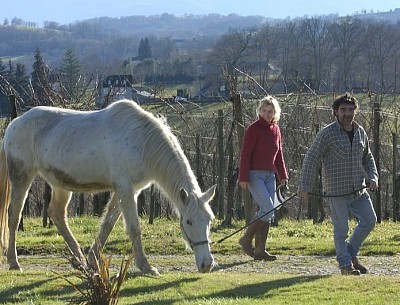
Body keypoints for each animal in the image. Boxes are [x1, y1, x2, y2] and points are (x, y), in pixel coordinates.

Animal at [0, 99, 216, 274]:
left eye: (209, 220)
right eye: (188, 222)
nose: (207, 264)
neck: (142, 141)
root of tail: (14, 124)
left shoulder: (128, 190)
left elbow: (108, 224)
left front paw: (93, 260)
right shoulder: (125, 189)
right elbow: (133, 227)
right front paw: (146, 266)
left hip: (61, 185)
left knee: (57, 214)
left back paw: (79, 260)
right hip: (22, 177)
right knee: (14, 215)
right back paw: (14, 262)